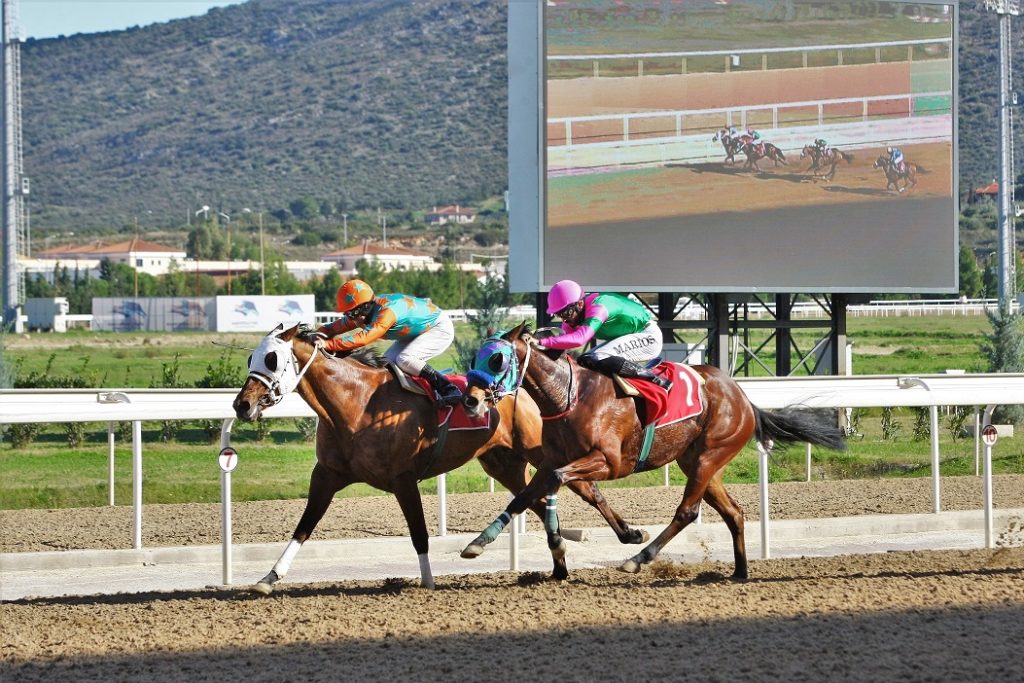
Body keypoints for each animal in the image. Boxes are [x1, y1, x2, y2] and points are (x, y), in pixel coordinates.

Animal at [235, 325, 643, 593]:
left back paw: (628, 534)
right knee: (539, 501)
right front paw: (268, 578)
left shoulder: (402, 479)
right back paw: (560, 560)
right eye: (251, 356)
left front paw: (428, 582)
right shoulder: (328, 474)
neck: (355, 403)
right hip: (503, 463)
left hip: (541, 451)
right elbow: (304, 526)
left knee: (586, 489)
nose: (242, 405)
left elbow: (419, 534)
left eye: (272, 359)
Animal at [462, 323, 847, 581]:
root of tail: (742, 396)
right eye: (475, 357)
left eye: (497, 360)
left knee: (687, 512)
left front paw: (560, 544)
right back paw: (740, 571)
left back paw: (638, 558)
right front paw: (477, 543)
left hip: (709, 455)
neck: (569, 395)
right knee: (733, 512)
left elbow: (556, 483)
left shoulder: (609, 462)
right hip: (699, 462)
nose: (471, 400)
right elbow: (523, 497)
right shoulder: (551, 459)